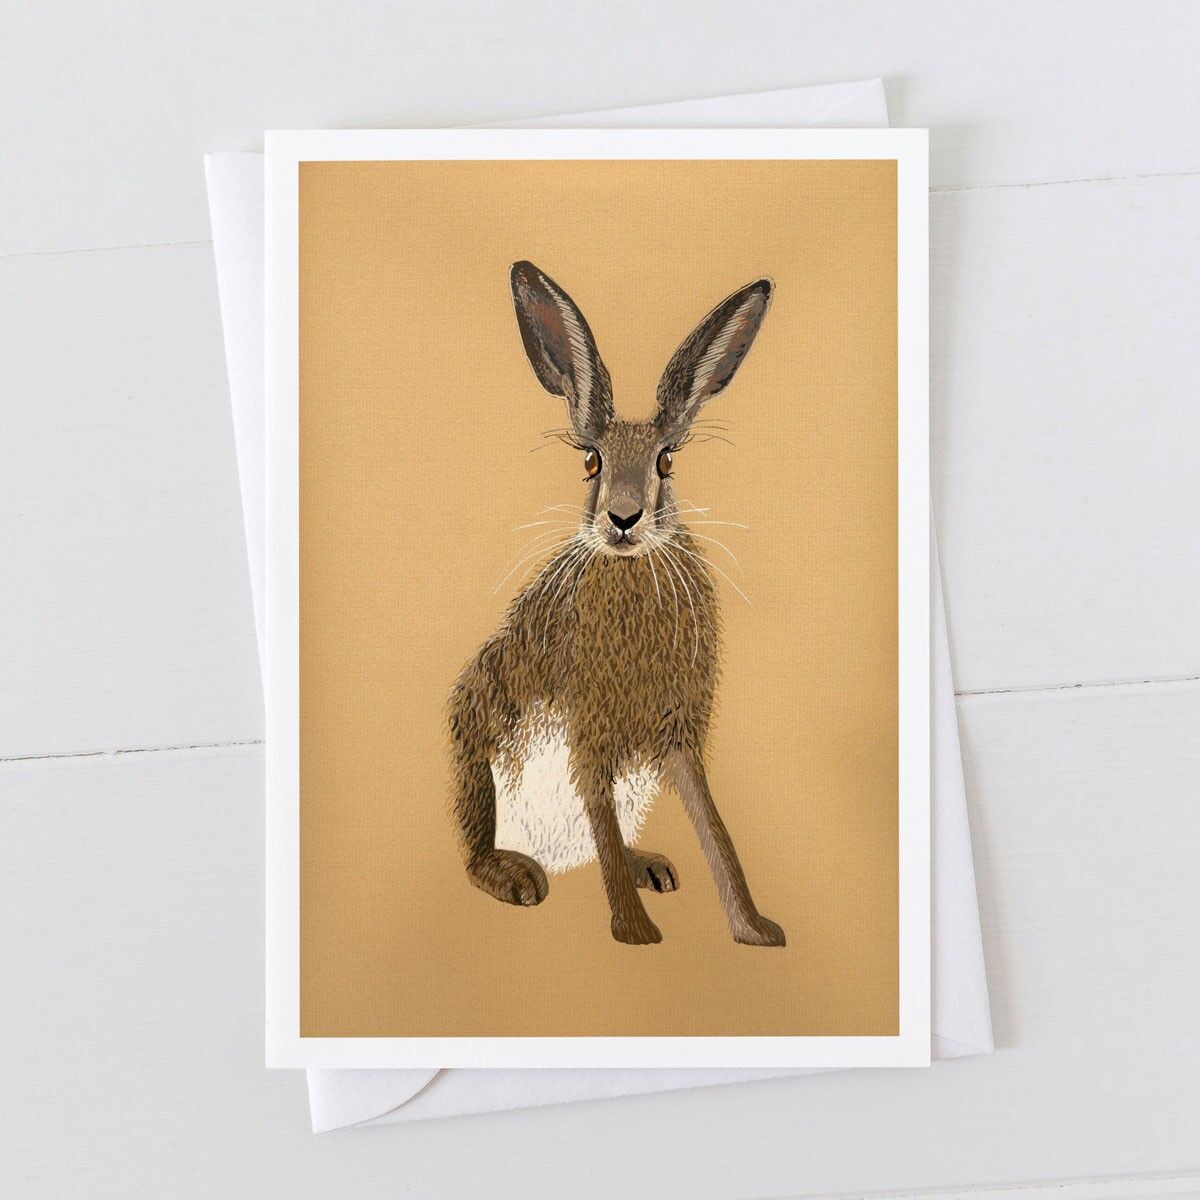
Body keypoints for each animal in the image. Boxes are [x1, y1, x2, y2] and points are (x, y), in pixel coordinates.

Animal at [447, 260, 784, 947]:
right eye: (591, 462)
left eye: (667, 461)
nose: (624, 519)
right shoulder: (589, 731)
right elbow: (607, 813)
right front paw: (635, 934)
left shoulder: (680, 736)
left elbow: (715, 829)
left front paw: (756, 930)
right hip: (476, 743)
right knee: (485, 849)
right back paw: (515, 876)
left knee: (606, 845)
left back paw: (647, 865)